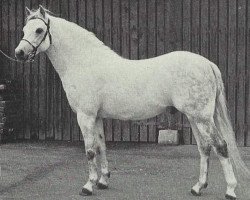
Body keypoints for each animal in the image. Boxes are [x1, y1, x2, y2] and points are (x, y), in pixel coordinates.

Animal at [15, 5, 248, 199]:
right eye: (24, 29)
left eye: (38, 30)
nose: (19, 53)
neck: (85, 63)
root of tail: (207, 63)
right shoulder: (97, 117)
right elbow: (101, 146)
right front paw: (103, 181)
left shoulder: (85, 116)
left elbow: (90, 150)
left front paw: (88, 186)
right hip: (194, 117)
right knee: (204, 148)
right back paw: (198, 187)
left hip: (201, 118)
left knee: (221, 146)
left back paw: (230, 190)